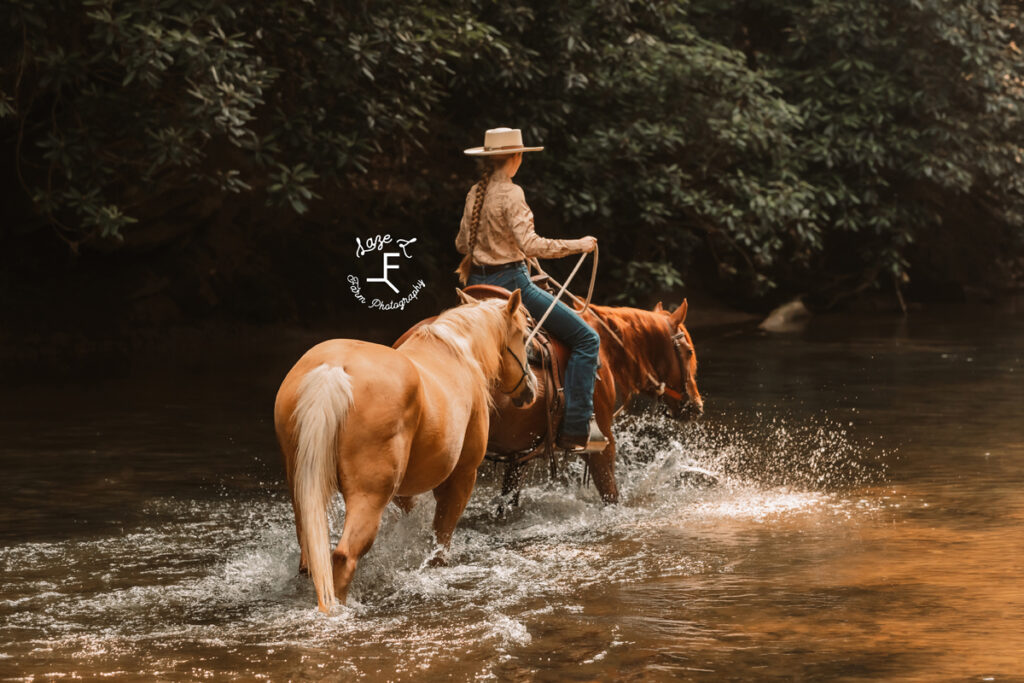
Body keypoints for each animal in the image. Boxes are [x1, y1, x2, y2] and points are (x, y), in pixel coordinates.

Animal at [276, 290, 540, 610]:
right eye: (524, 336)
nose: (530, 388)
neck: (457, 353)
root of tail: (334, 370)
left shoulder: (403, 491)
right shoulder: (463, 477)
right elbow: (441, 539)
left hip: (303, 494)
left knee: (309, 560)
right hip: (369, 497)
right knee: (343, 556)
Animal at [483, 296, 700, 501]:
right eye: (689, 352)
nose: (697, 405)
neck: (605, 347)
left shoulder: (518, 457)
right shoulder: (603, 447)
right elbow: (611, 495)